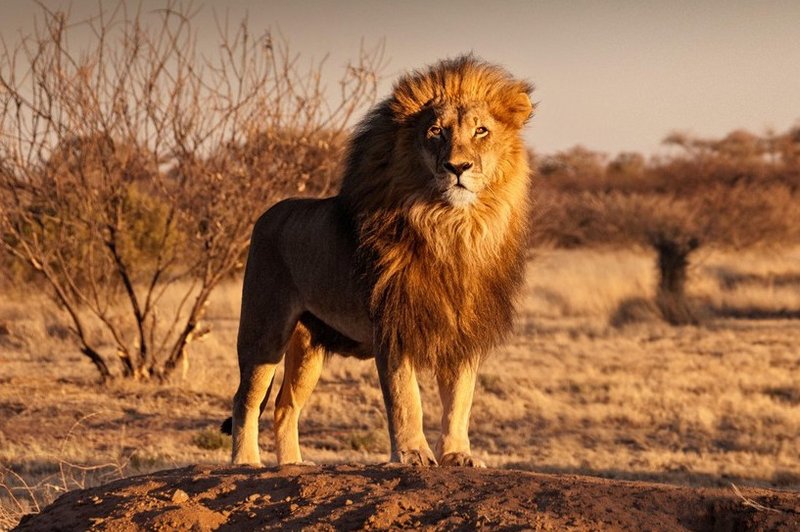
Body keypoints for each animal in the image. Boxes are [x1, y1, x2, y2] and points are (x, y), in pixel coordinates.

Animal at [223, 56, 532, 468]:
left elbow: (459, 401)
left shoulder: (463, 331)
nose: (458, 167)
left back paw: (293, 465)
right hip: (264, 329)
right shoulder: (393, 326)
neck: (453, 229)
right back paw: (246, 463)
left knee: (284, 406)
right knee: (247, 399)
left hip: (307, 347)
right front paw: (413, 453)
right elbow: (406, 398)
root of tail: (268, 213)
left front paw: (458, 455)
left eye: (481, 130)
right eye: (436, 131)